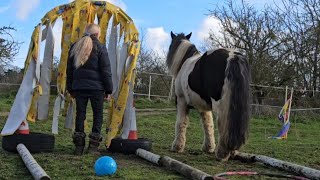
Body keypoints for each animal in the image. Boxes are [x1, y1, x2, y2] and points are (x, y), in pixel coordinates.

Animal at [166, 31, 251, 161]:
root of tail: (232, 56)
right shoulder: (204, 107)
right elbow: (208, 125)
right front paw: (208, 147)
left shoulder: (181, 101)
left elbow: (181, 123)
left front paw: (177, 147)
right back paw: (231, 152)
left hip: (221, 106)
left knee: (223, 125)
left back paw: (222, 154)